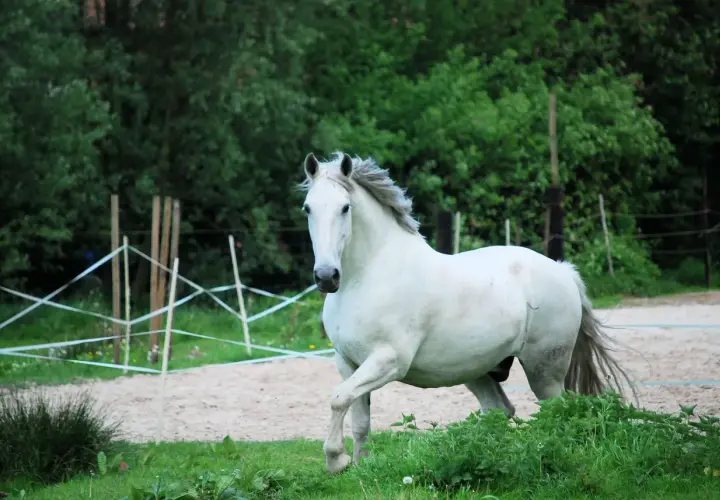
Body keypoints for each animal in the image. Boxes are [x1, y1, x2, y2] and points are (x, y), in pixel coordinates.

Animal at [299, 151, 636, 475]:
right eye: (307, 208)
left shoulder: (389, 360)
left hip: (545, 370)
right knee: (500, 410)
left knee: (555, 412)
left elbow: (338, 399)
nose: (326, 277)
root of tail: (563, 271)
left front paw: (336, 460)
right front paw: (357, 466)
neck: (367, 276)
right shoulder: (348, 362)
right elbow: (357, 418)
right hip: (478, 370)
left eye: (345, 208)